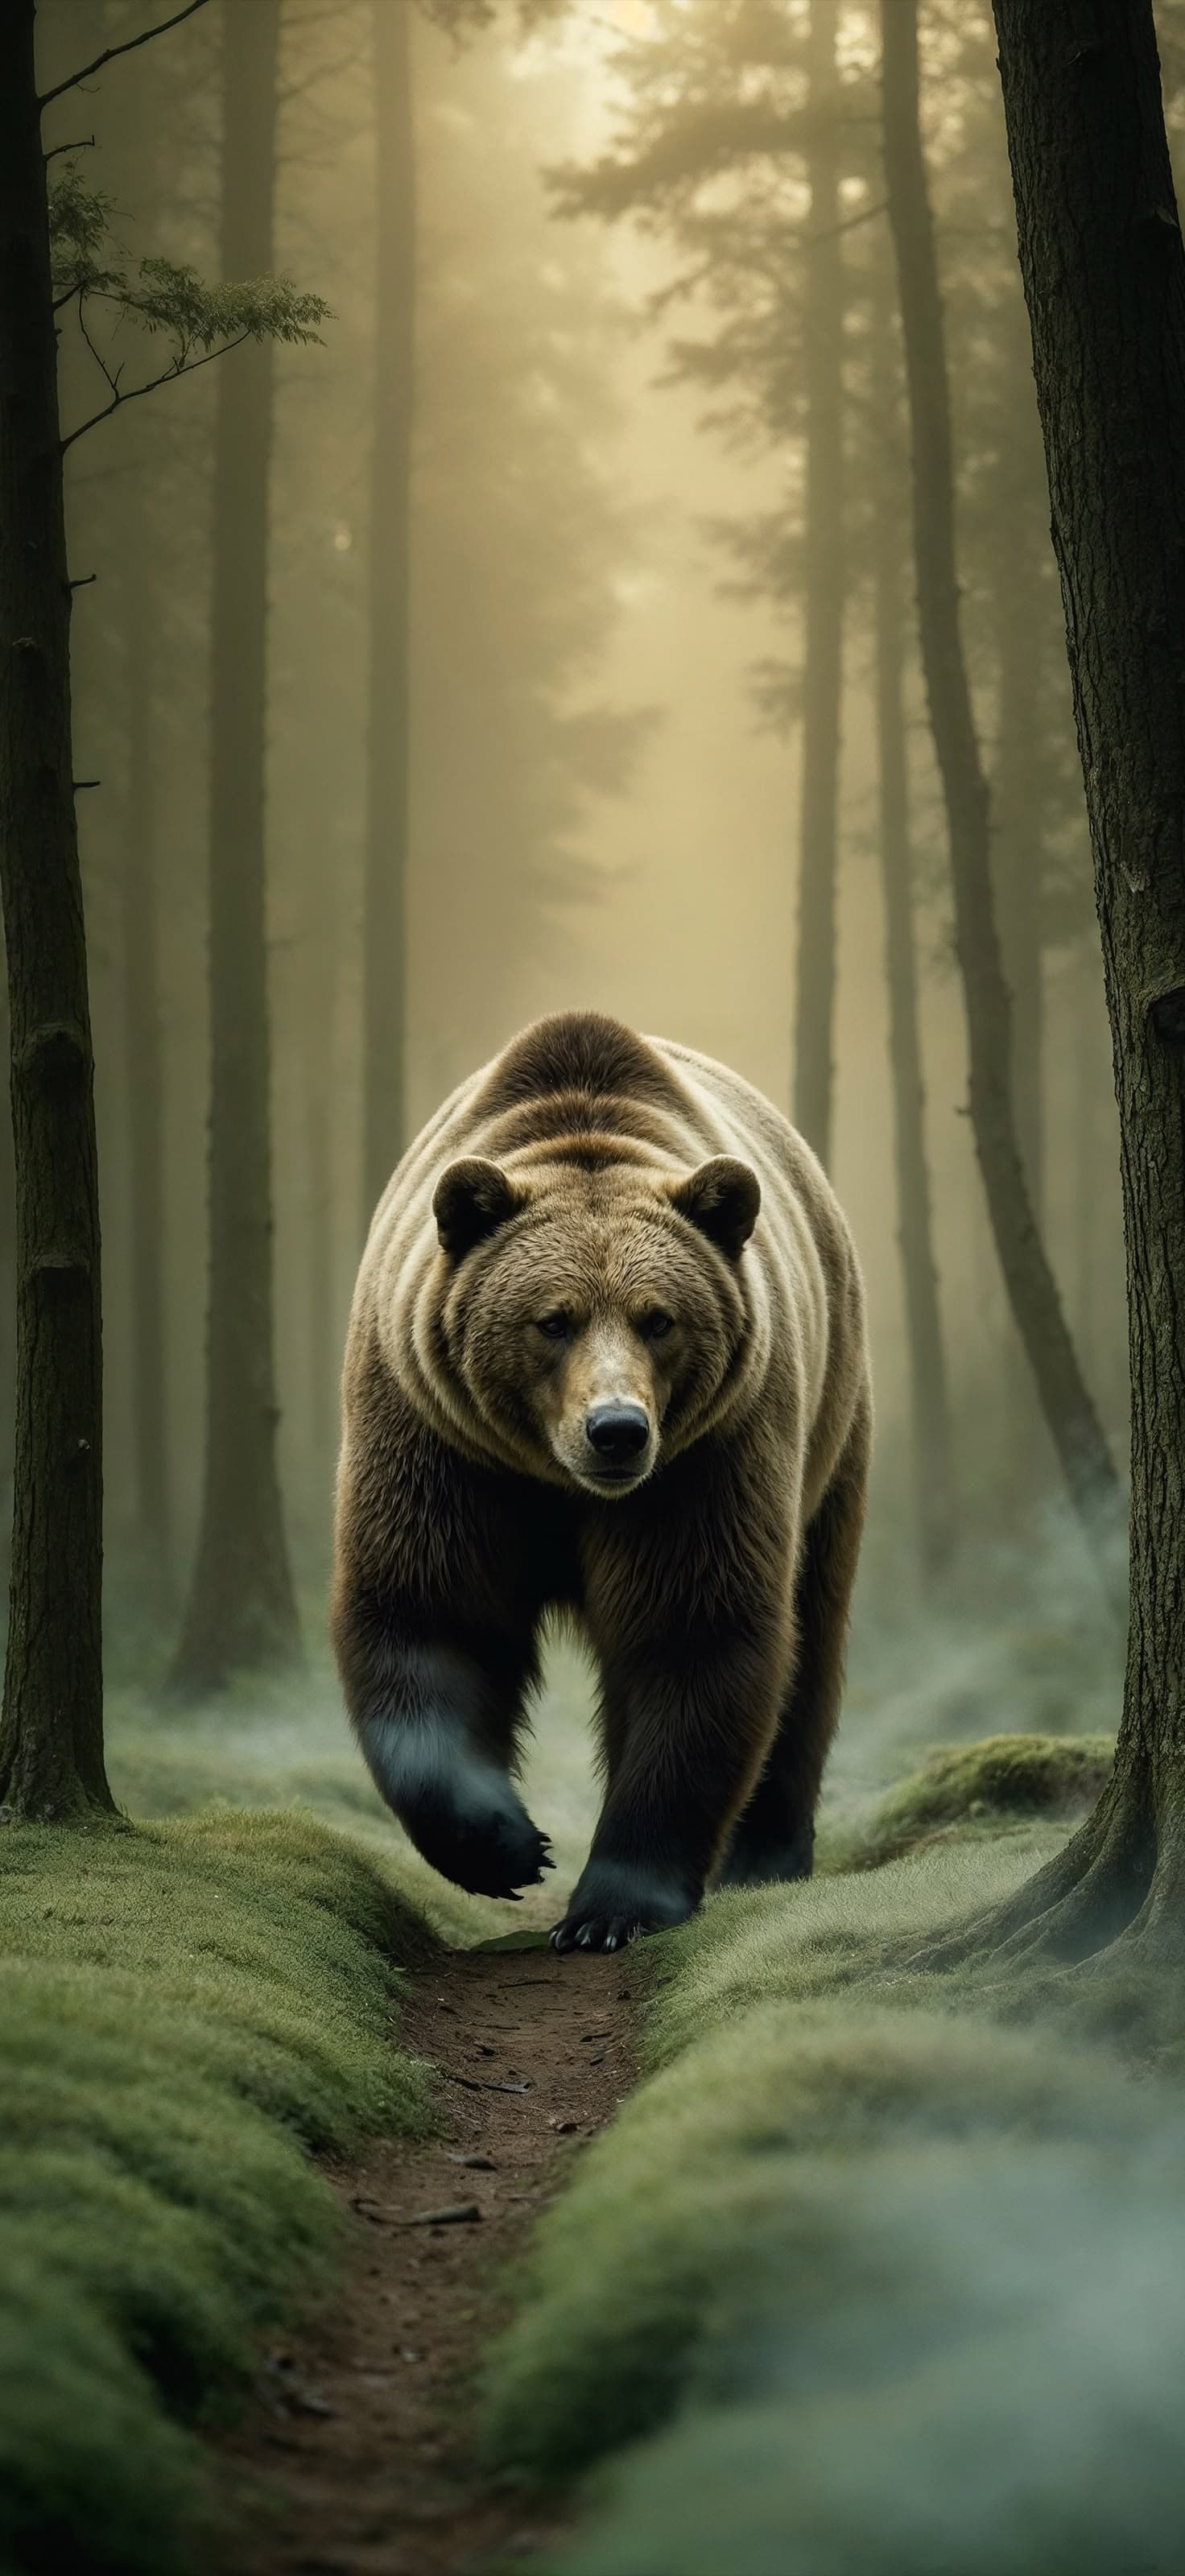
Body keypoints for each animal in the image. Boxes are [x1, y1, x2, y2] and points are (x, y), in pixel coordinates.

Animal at [331, 1011, 870, 1952]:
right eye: (553, 1319)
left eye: (659, 1318)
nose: (616, 1429)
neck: (557, 1483)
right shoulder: (441, 1443)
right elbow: (429, 1610)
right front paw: (507, 1847)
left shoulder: (702, 1461)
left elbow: (690, 1632)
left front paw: (613, 1904)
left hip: (830, 1435)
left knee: (812, 1636)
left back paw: (767, 1852)